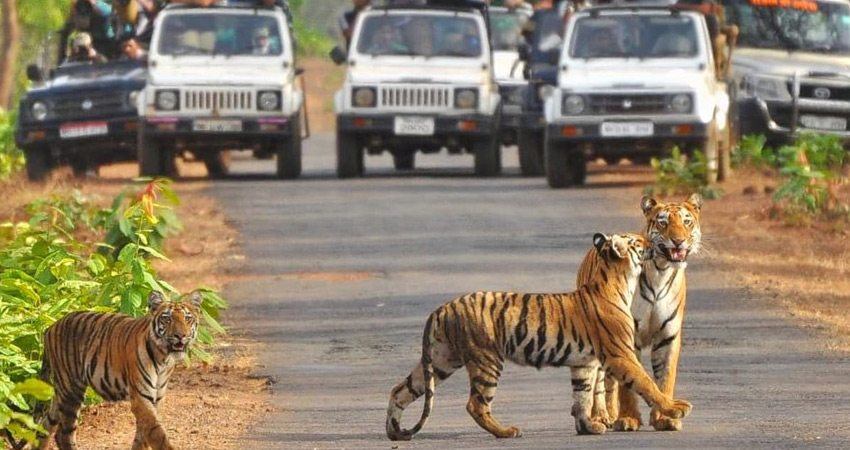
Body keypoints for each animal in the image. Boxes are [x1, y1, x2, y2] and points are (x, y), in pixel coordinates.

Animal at [35, 290, 205, 448]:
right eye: (167, 319)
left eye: (187, 318)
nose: (180, 336)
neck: (163, 358)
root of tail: (50, 327)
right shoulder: (141, 398)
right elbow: (157, 434)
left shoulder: (156, 399)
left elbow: (143, 437)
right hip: (71, 390)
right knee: (63, 434)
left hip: (61, 393)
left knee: (44, 427)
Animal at [384, 232, 688, 440]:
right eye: (636, 241)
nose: (651, 241)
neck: (618, 281)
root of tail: (442, 308)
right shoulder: (620, 354)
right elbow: (647, 383)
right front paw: (676, 408)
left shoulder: (584, 363)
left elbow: (583, 396)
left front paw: (587, 427)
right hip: (486, 359)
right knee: (476, 404)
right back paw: (507, 431)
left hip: (441, 360)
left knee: (400, 389)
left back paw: (394, 431)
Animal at [576, 193, 704, 432]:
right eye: (663, 222)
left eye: (687, 222)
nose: (678, 240)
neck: (661, 270)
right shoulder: (628, 335)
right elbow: (628, 385)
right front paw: (628, 418)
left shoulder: (668, 336)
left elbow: (665, 378)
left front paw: (665, 418)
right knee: (599, 381)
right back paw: (601, 417)